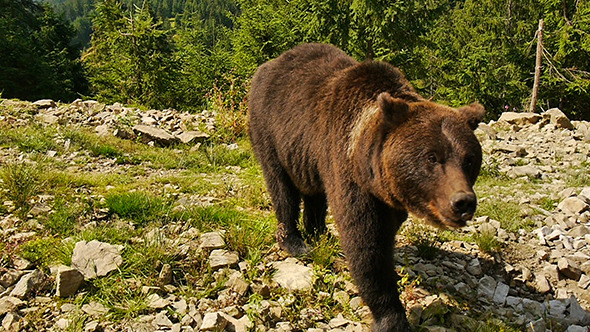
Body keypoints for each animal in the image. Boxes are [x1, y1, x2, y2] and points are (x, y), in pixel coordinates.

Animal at [249, 44, 486, 332]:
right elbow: (366, 242)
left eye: (469, 159)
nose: (463, 201)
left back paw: (320, 233)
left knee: (315, 193)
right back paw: (295, 242)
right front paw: (391, 318)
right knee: (282, 189)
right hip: (269, 130)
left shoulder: (388, 196)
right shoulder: (347, 167)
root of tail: (268, 66)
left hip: (306, 154)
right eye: (432, 157)